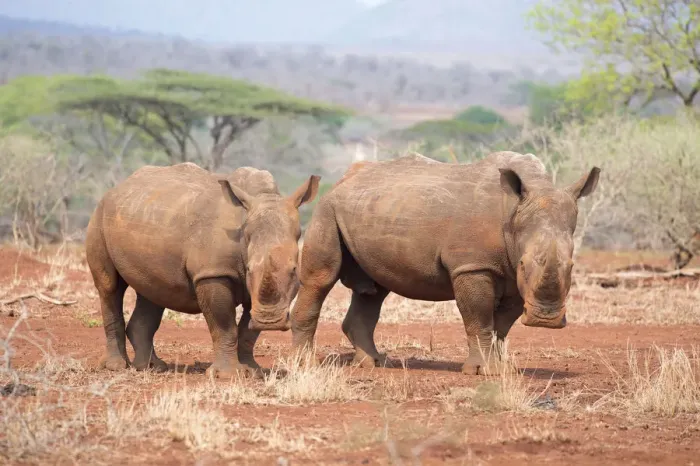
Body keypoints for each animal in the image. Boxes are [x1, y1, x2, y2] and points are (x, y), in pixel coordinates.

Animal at [86, 162, 320, 378]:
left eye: (294, 271)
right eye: (250, 270)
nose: (269, 322)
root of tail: (116, 188)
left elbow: (247, 331)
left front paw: (253, 371)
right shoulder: (213, 273)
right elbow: (224, 325)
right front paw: (227, 375)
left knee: (152, 292)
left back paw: (152, 367)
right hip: (99, 216)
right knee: (109, 287)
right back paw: (117, 366)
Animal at [290, 152, 599, 374]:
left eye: (572, 266)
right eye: (524, 264)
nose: (546, 320)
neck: (514, 211)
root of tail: (343, 179)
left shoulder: (511, 276)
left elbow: (502, 325)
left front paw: (502, 369)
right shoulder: (472, 266)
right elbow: (479, 317)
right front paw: (483, 371)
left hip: (373, 208)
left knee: (373, 291)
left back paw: (374, 363)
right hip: (326, 208)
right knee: (321, 279)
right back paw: (307, 365)